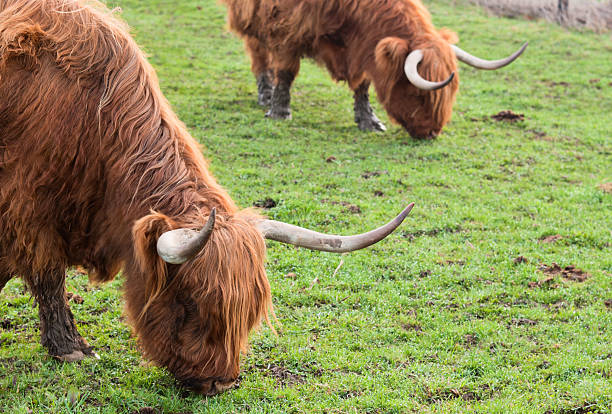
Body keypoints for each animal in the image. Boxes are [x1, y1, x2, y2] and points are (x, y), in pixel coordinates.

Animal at [0, 0, 416, 396]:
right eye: (190, 302)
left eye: (247, 312)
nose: (221, 383)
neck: (90, 120)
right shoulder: (29, 210)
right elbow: (47, 274)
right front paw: (70, 347)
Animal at [222, 0, 528, 139]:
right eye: (419, 94)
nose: (432, 132)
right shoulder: (287, 27)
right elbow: (286, 70)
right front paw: (280, 111)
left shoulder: (361, 47)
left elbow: (363, 85)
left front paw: (369, 121)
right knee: (259, 54)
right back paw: (265, 94)